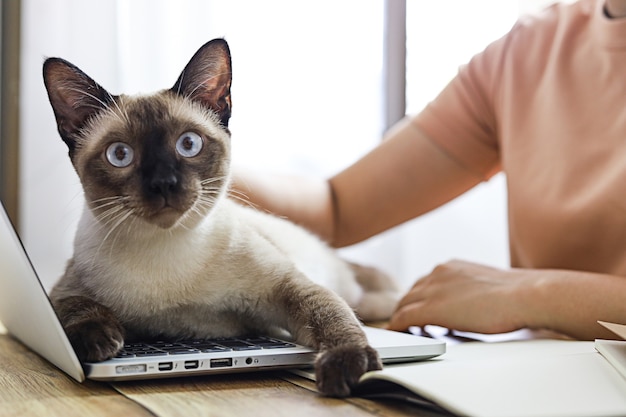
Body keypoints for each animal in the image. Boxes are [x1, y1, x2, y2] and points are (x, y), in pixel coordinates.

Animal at [44, 38, 398, 396]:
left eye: (188, 144)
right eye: (120, 155)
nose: (163, 183)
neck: (168, 252)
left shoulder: (288, 288)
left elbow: (331, 316)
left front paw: (348, 364)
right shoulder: (62, 291)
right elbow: (74, 307)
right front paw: (98, 341)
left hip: (356, 292)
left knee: (363, 301)